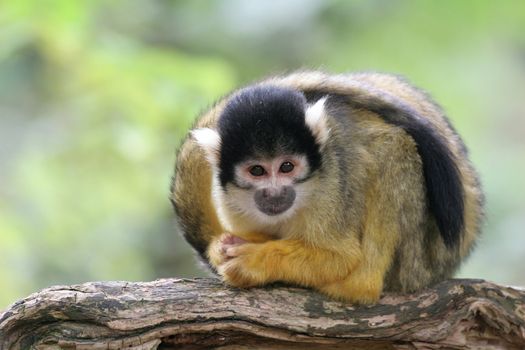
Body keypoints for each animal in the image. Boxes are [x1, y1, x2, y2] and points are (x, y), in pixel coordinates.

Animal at [169, 70, 484, 304]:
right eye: (257, 170)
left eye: (287, 167)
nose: (274, 193)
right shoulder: (232, 201)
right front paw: (222, 247)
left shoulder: (331, 186)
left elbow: (340, 257)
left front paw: (257, 262)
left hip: (417, 261)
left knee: (393, 148)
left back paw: (360, 286)